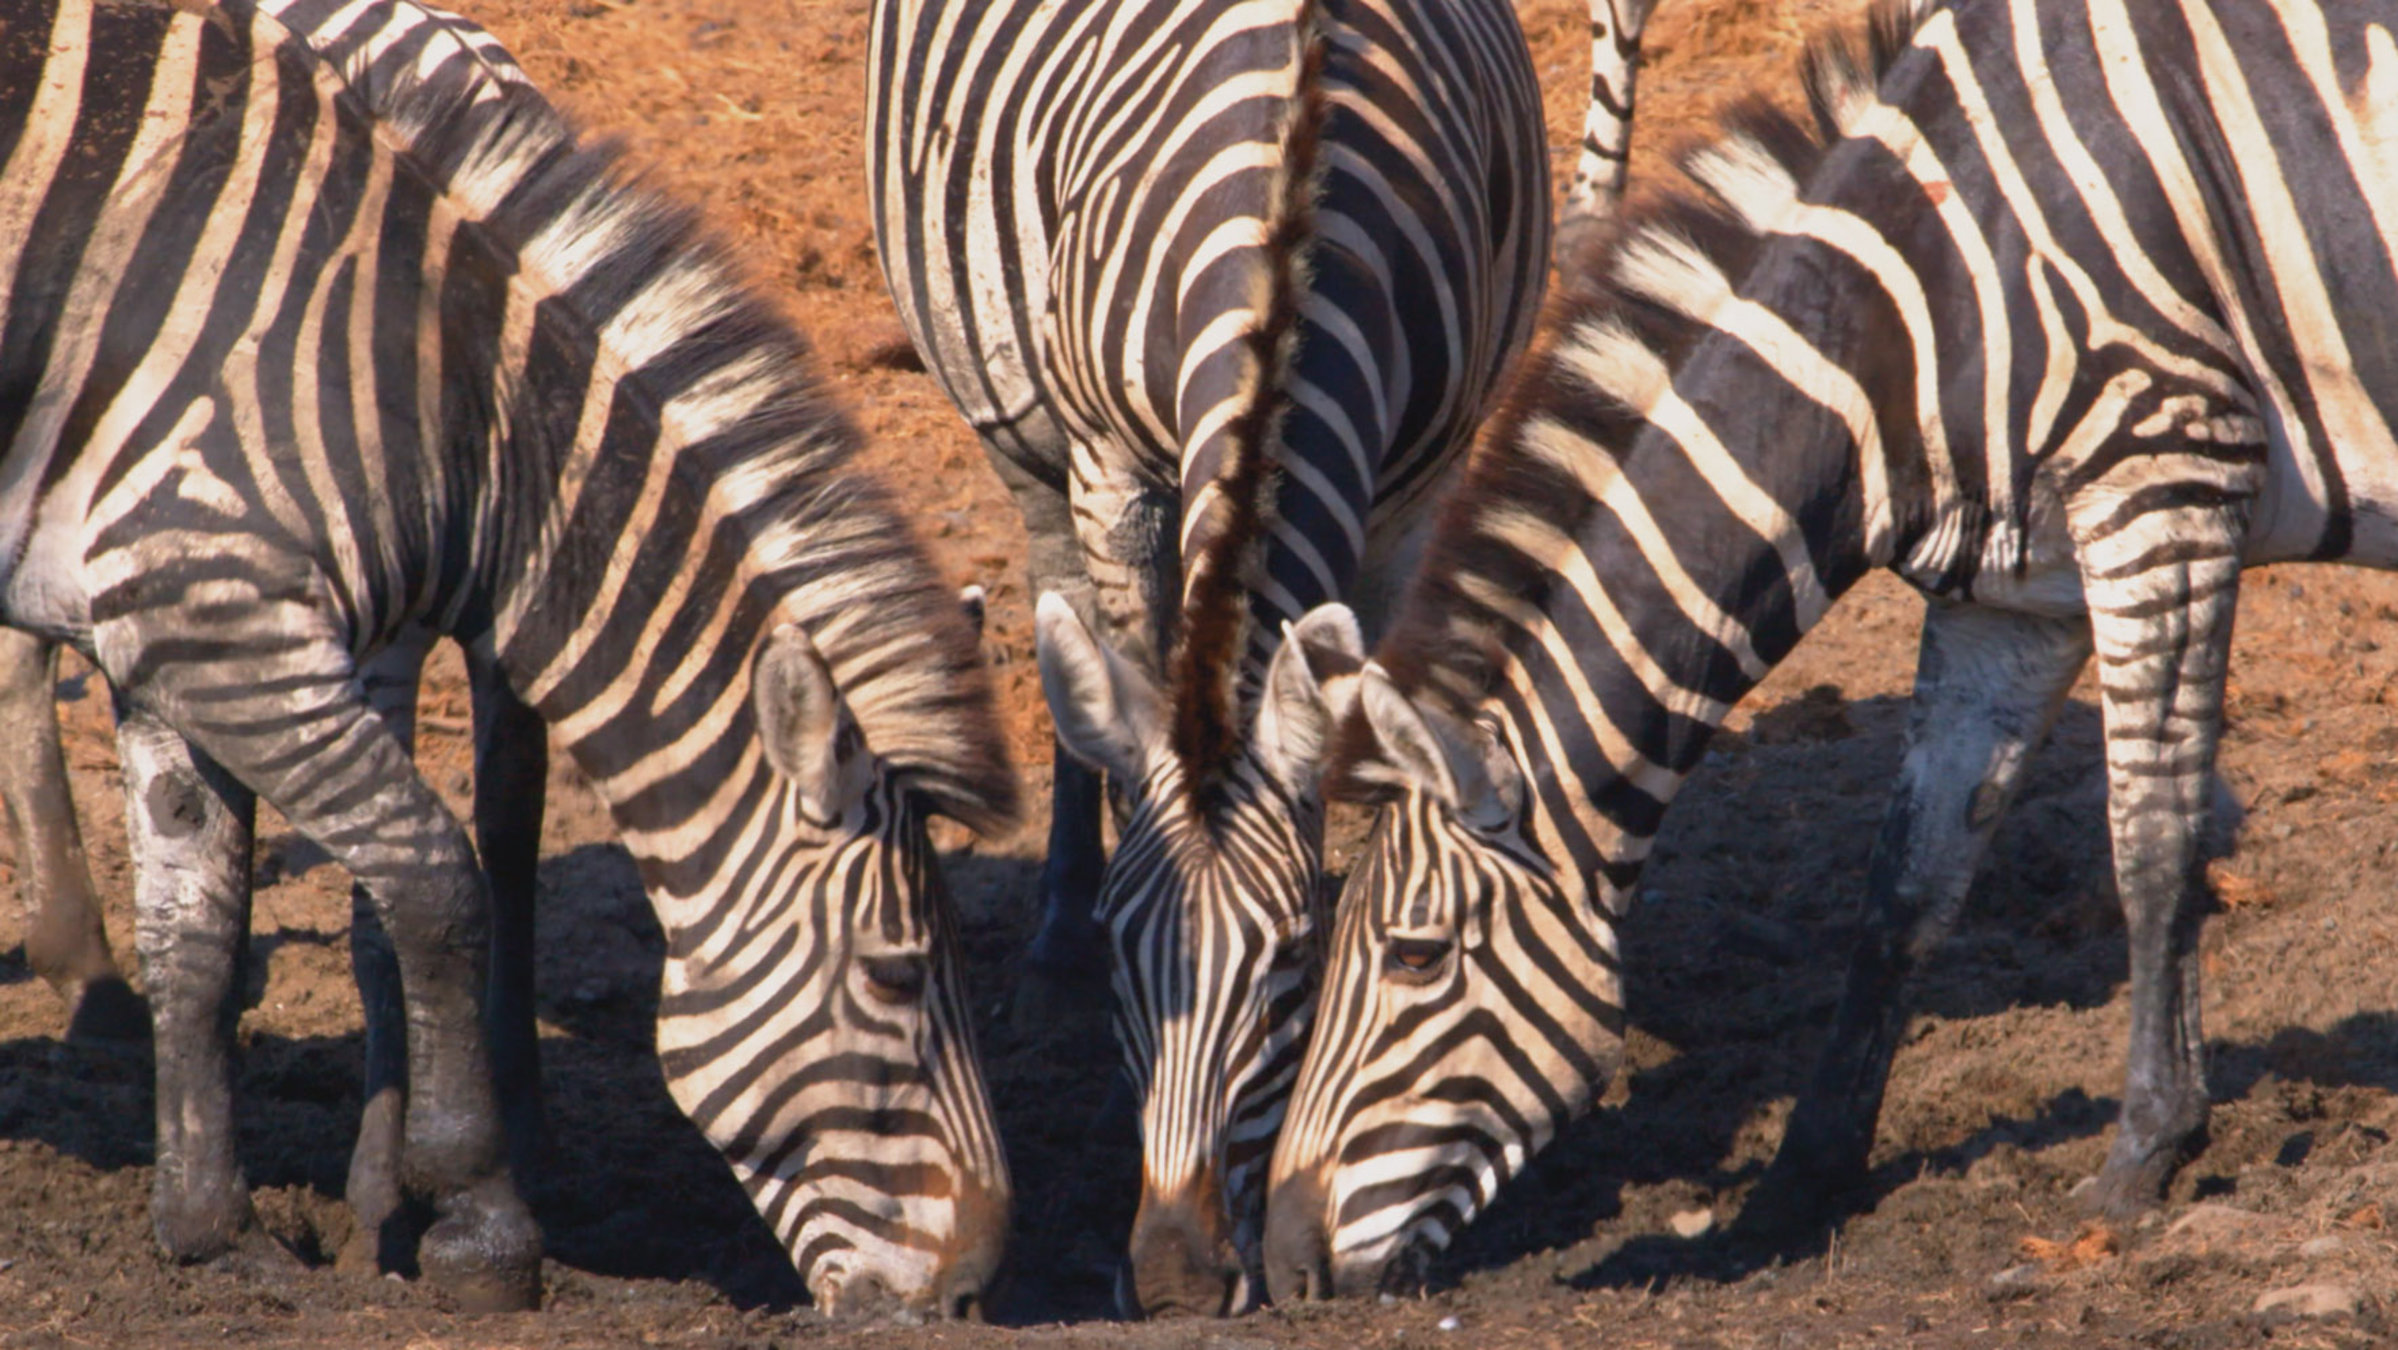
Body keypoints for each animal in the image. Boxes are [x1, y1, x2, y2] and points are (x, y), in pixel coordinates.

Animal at [0, 0, 1017, 1317]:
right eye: (897, 975)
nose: (973, 1291)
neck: (442, 402)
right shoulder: (231, 621)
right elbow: (435, 882)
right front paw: (478, 1222)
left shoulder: (177, 638)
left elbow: (200, 935)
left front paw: (213, 1226)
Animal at [868, 0, 1549, 1314]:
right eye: (1135, 961)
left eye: (1290, 964)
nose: (1179, 1280)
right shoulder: (1105, 462)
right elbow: (1131, 705)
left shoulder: (1412, 490)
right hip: (1012, 417)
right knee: (1065, 623)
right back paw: (1050, 938)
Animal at [1261, 0, 2398, 1297]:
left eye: (1411, 958)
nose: (1284, 1265)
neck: (1921, 314)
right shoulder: (2012, 597)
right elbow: (1903, 888)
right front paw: (1796, 1183)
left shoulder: (2166, 479)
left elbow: (2151, 845)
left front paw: (2147, 1149)